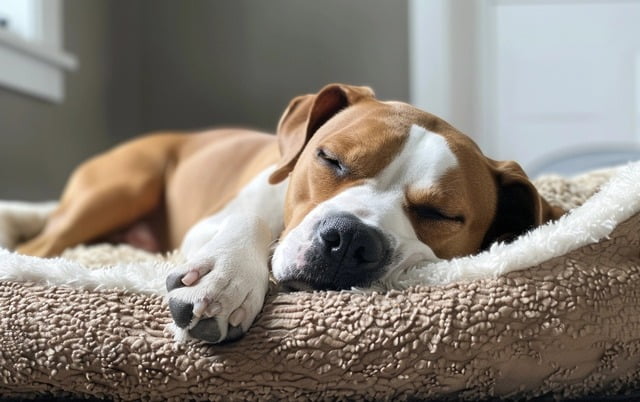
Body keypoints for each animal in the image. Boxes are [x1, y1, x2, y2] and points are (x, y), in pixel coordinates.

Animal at [2, 84, 564, 342]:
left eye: (441, 214)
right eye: (331, 159)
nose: (349, 238)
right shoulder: (213, 221)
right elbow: (249, 222)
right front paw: (225, 280)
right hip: (121, 187)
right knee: (42, 242)